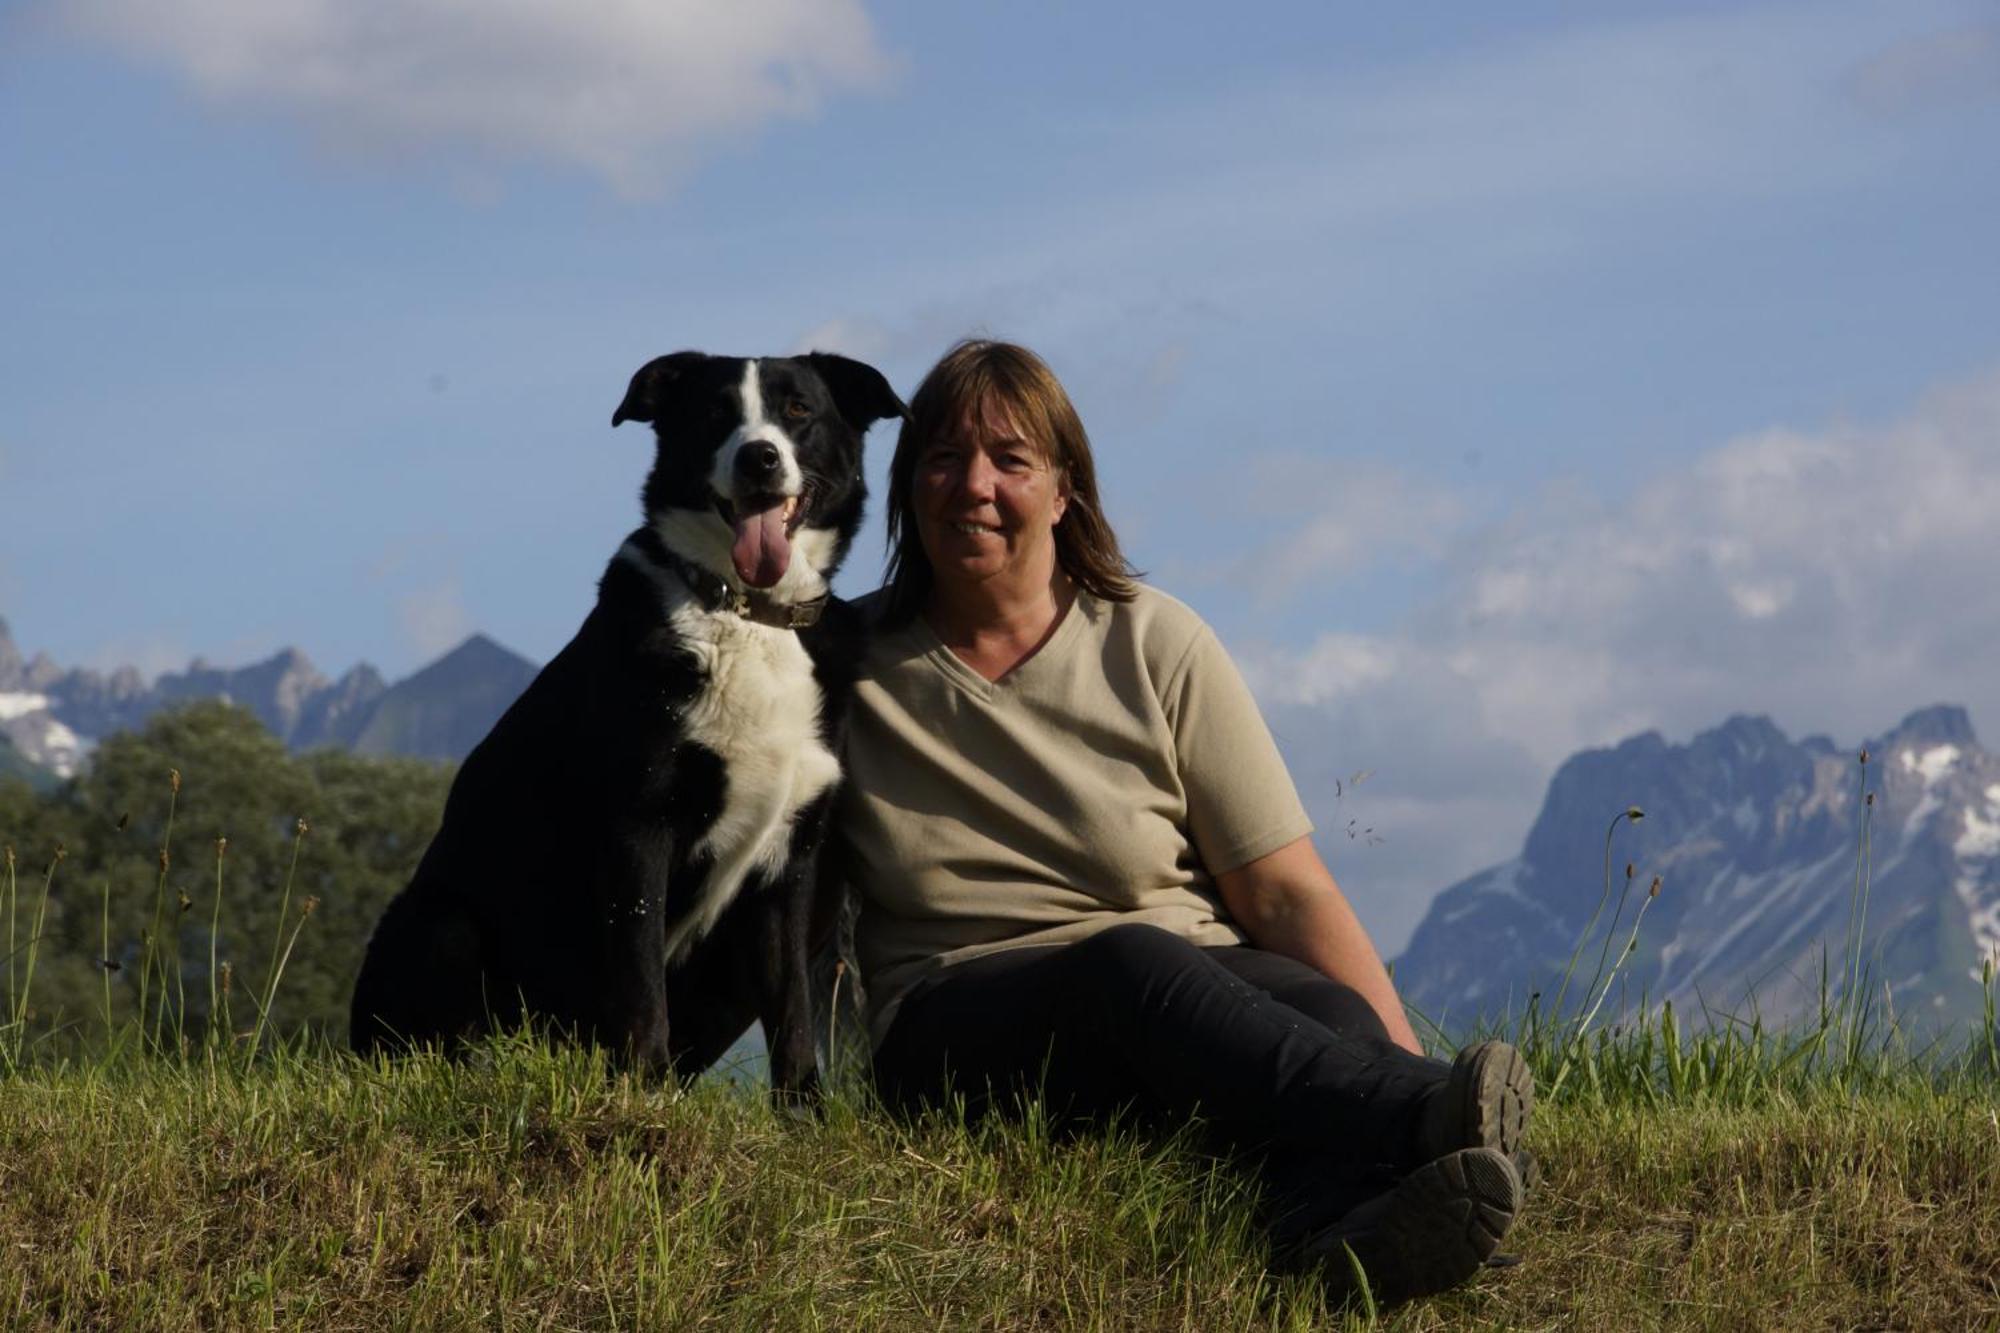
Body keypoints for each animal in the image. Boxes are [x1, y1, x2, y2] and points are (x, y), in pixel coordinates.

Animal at [350, 350, 900, 1088]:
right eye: (716, 412)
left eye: (798, 410)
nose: (758, 458)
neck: (742, 613)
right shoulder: (639, 826)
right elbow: (641, 988)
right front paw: (644, 1089)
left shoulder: (791, 863)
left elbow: (792, 1015)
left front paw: (803, 1109)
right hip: (441, 924)